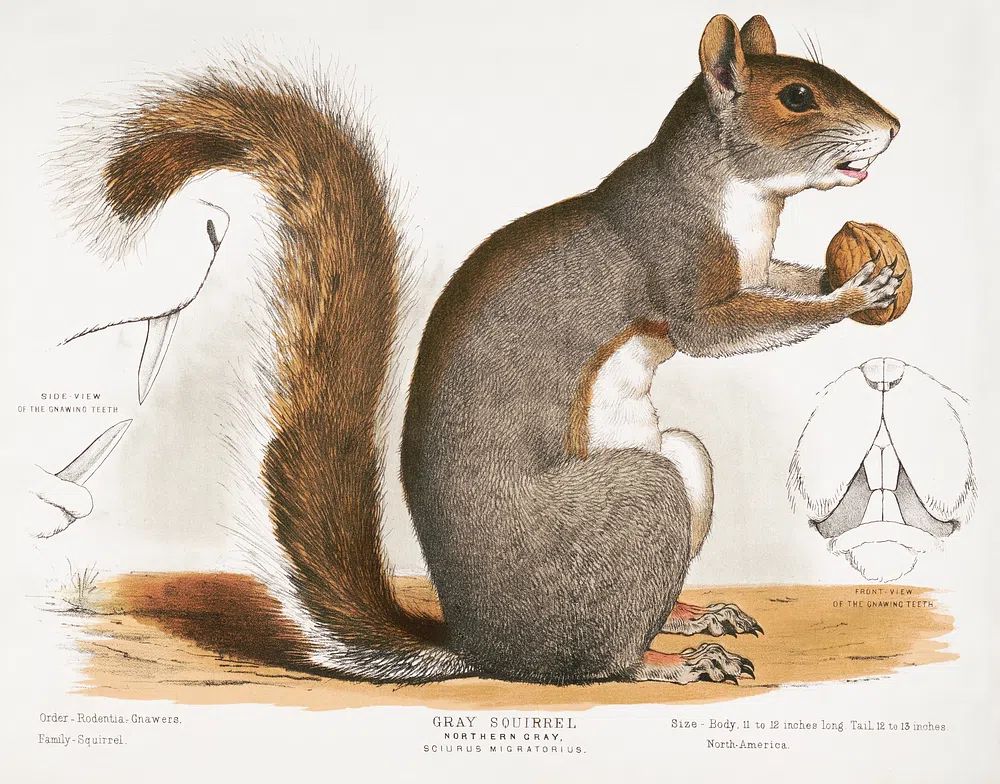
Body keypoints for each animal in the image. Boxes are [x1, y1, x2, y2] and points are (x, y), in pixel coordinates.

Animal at [70, 14, 902, 685]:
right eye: (798, 96)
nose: (893, 127)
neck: (741, 198)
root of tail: (483, 649)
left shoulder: (754, 268)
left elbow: (780, 284)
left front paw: (849, 275)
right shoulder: (677, 263)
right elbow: (719, 330)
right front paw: (854, 293)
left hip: (682, 462)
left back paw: (693, 616)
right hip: (641, 500)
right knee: (600, 662)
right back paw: (674, 661)